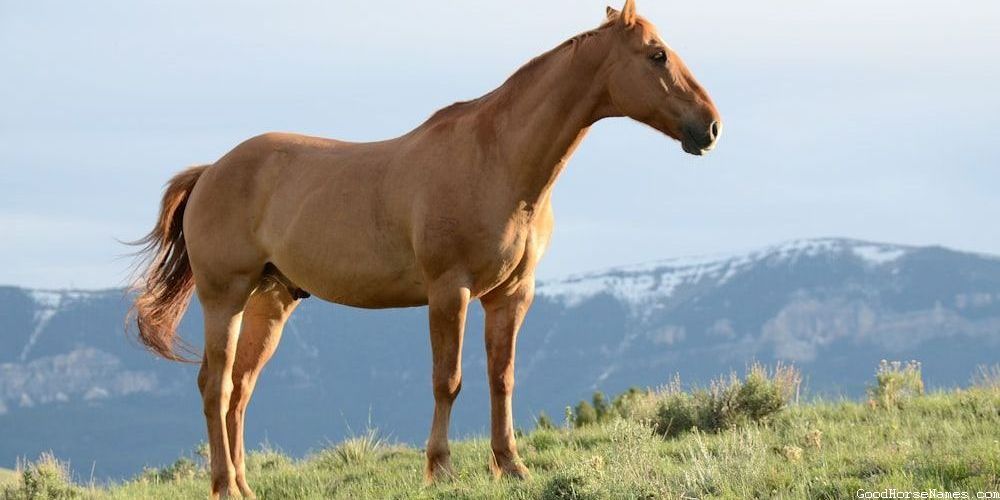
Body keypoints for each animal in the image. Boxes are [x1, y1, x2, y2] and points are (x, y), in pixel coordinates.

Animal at [130, 1, 720, 497]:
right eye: (657, 54)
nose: (710, 126)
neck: (497, 159)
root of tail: (211, 171)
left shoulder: (512, 295)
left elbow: (501, 378)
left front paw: (511, 466)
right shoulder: (449, 291)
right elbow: (448, 381)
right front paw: (440, 469)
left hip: (269, 303)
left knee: (240, 390)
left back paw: (244, 486)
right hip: (224, 298)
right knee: (215, 386)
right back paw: (224, 486)